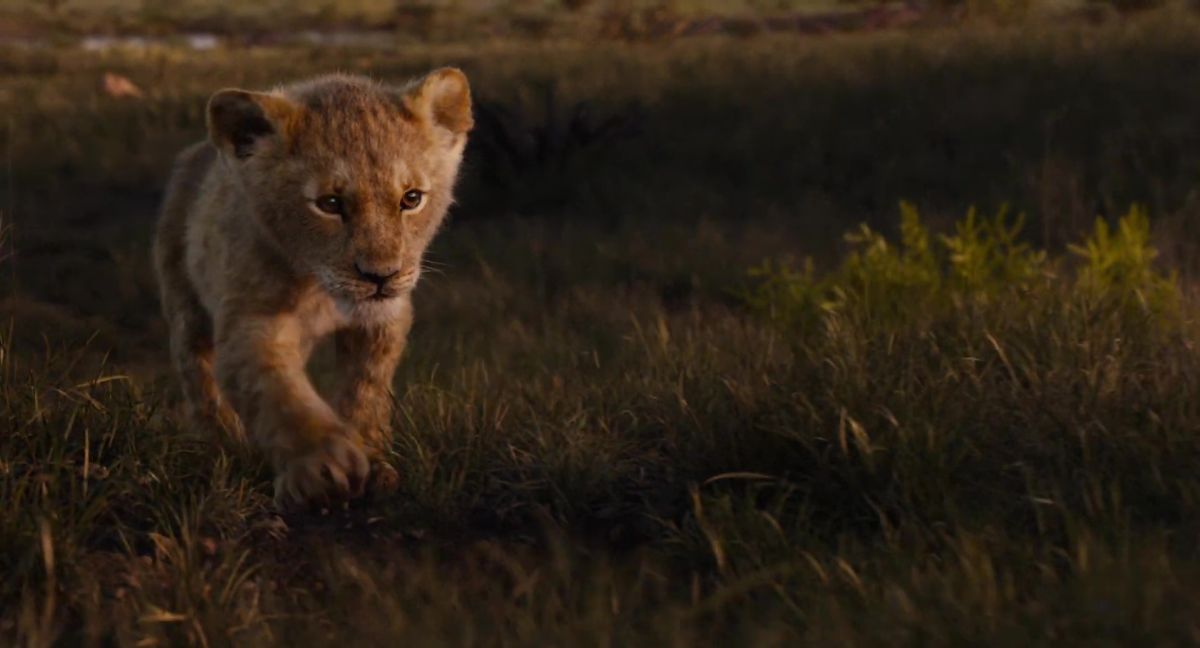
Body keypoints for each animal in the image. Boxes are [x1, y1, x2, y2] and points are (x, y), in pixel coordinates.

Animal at [152, 69, 473, 508]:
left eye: (411, 199)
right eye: (330, 203)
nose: (381, 277)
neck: (318, 289)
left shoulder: (385, 320)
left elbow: (366, 391)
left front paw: (373, 462)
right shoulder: (250, 324)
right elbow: (278, 394)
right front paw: (323, 464)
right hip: (185, 306)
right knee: (198, 379)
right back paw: (222, 443)